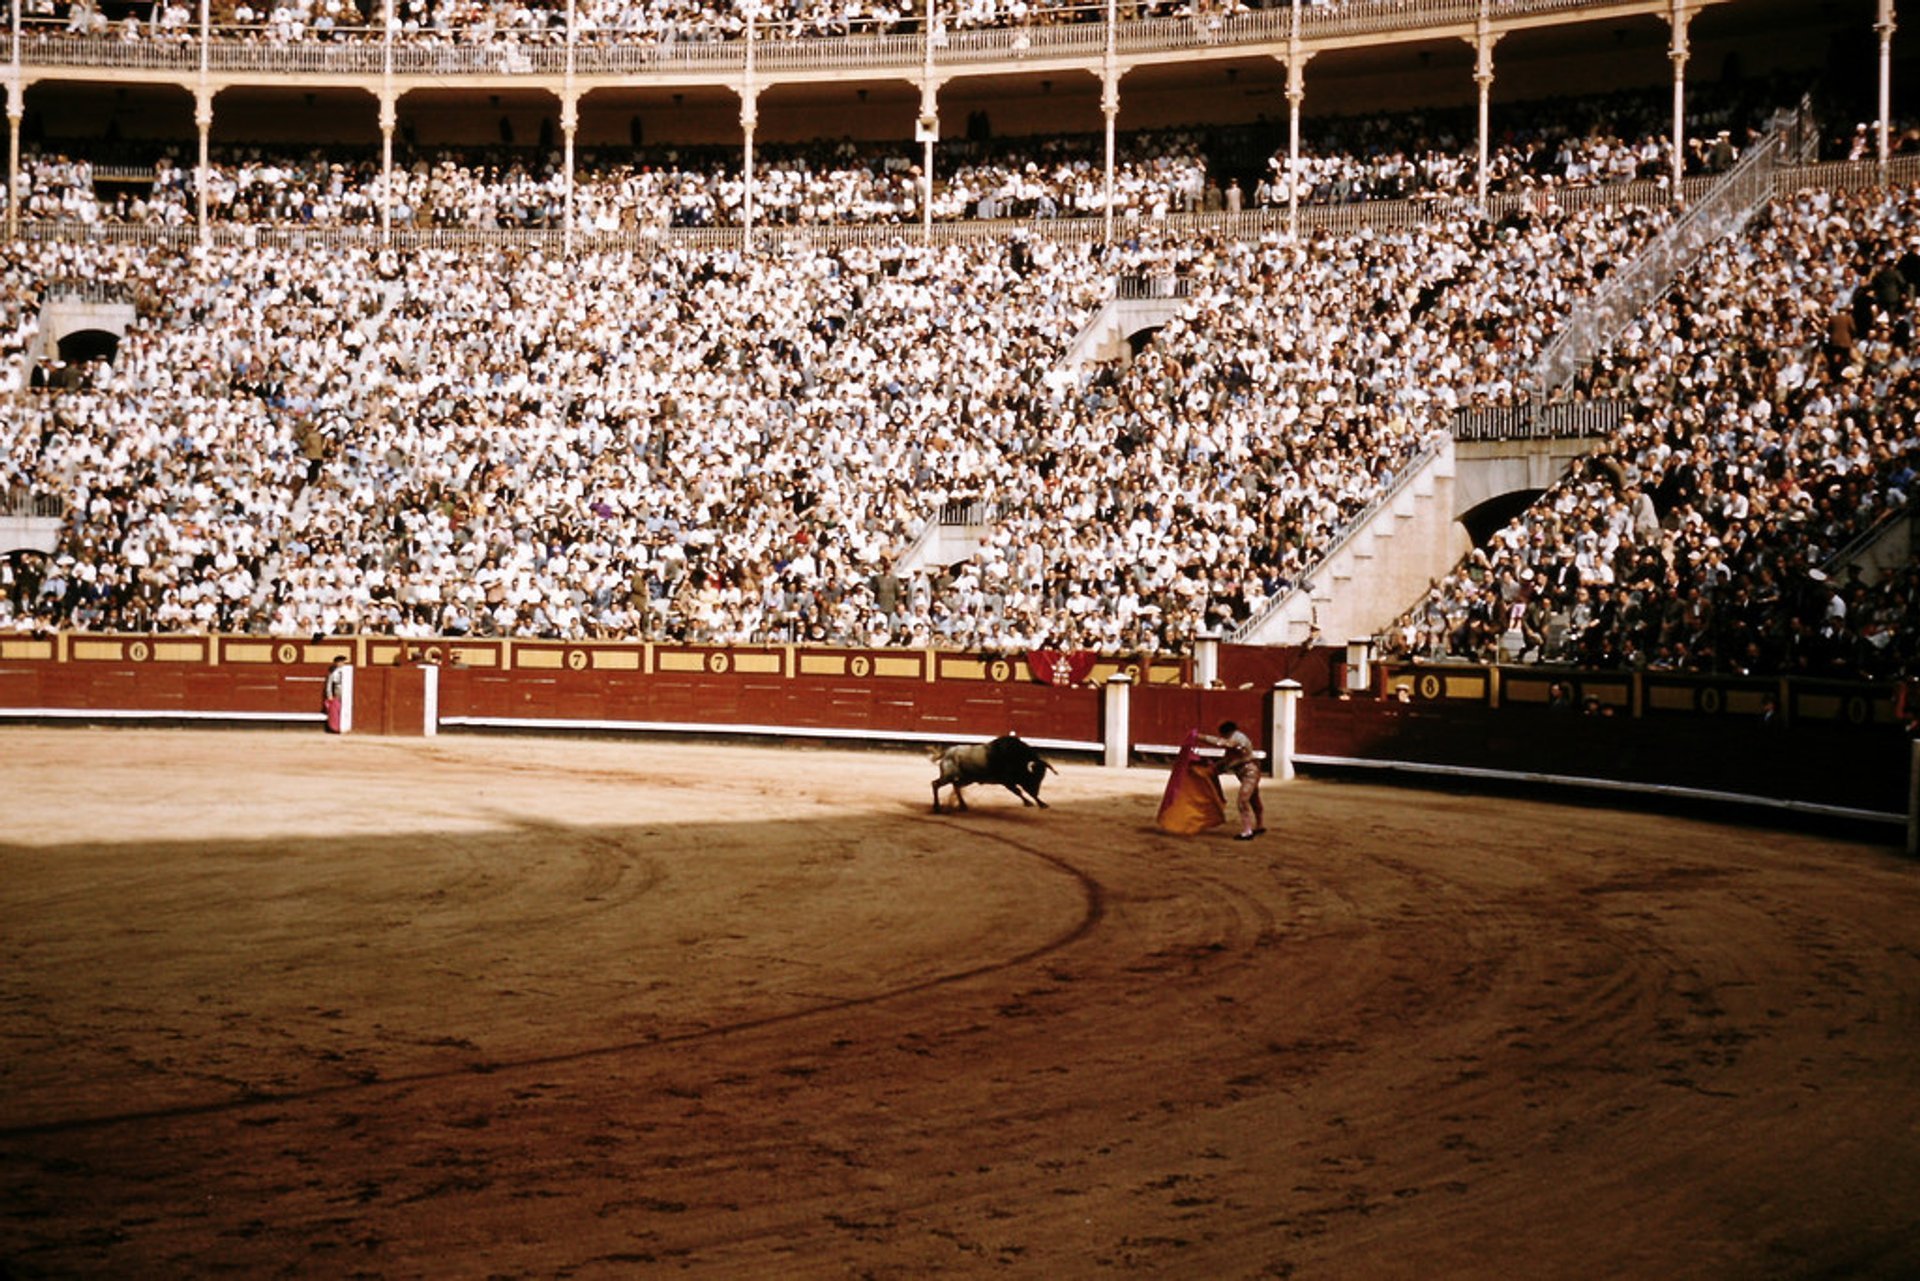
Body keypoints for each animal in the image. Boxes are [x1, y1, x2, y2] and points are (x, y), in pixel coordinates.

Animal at [925, 729, 1059, 810]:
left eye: (1041, 778)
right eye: (1034, 778)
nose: (1037, 790)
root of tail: (947, 752)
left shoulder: (1013, 782)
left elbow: (1025, 792)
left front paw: (1041, 803)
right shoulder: (1007, 781)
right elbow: (1019, 791)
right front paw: (1030, 803)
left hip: (967, 779)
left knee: (956, 786)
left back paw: (963, 806)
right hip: (948, 776)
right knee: (936, 784)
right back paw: (937, 808)